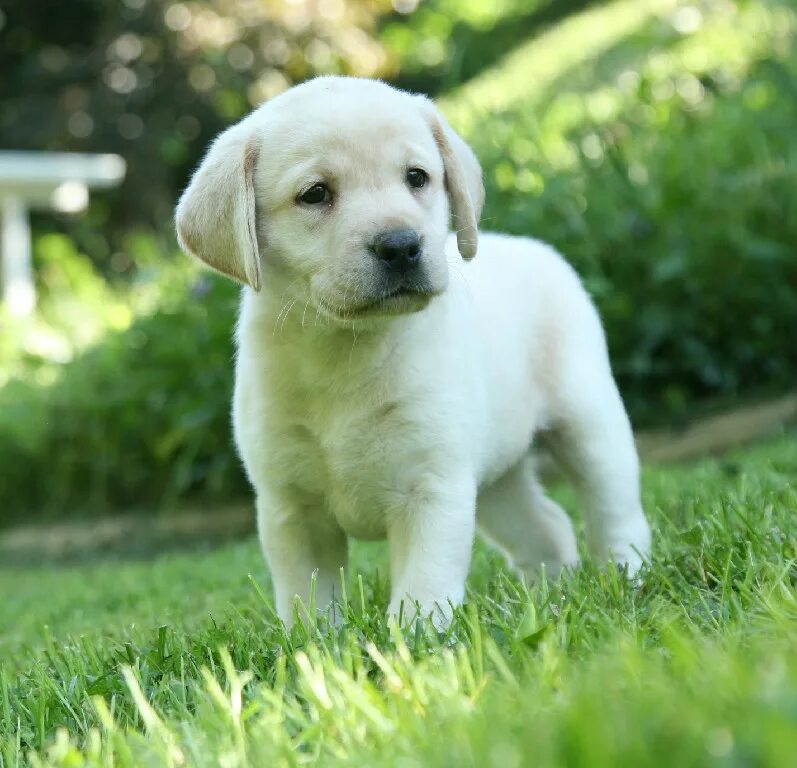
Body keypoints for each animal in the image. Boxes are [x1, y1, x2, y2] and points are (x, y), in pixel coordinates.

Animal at [174, 75, 648, 628]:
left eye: (417, 177)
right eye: (315, 194)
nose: (401, 245)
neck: (343, 348)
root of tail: (538, 248)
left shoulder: (432, 489)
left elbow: (423, 588)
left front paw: (415, 642)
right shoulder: (290, 509)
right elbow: (308, 600)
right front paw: (316, 644)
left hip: (588, 423)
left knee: (613, 510)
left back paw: (626, 575)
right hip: (493, 478)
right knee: (546, 525)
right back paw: (550, 599)